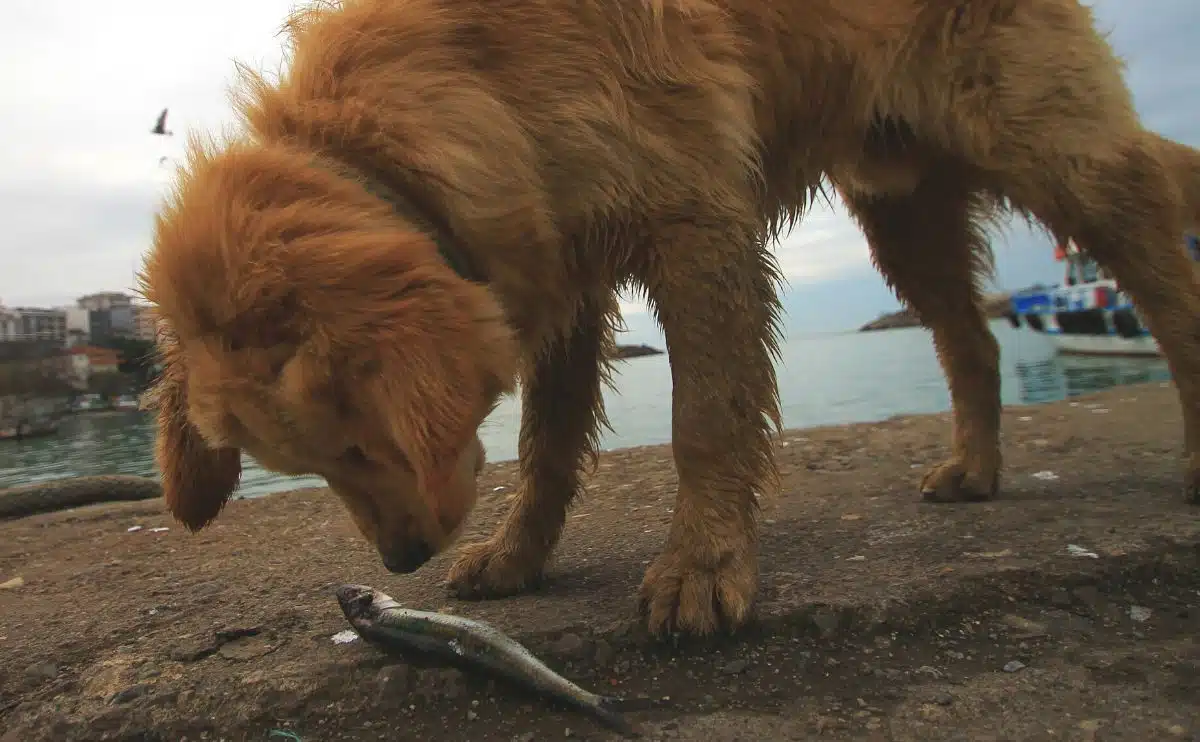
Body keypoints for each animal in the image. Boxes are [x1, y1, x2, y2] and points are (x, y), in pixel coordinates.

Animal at [138, 0, 1200, 633]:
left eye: (360, 444)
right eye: (318, 464)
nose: (399, 559)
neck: (459, 80)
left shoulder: (697, 224)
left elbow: (707, 422)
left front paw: (702, 564)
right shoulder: (557, 265)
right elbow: (547, 449)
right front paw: (518, 557)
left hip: (1059, 149)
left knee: (1167, 288)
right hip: (902, 205)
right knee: (970, 338)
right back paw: (975, 470)